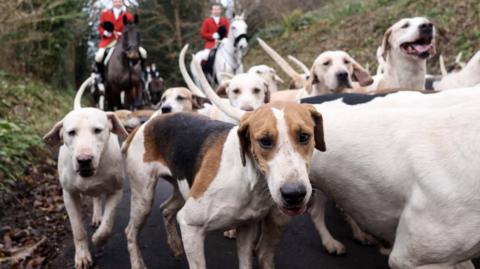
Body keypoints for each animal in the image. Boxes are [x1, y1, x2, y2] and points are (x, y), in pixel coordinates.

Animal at [43, 77, 127, 268]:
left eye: (98, 130)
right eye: (71, 133)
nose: (84, 159)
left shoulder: (116, 190)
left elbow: (108, 224)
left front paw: (99, 239)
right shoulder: (69, 195)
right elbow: (78, 230)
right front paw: (82, 256)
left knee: (97, 197)